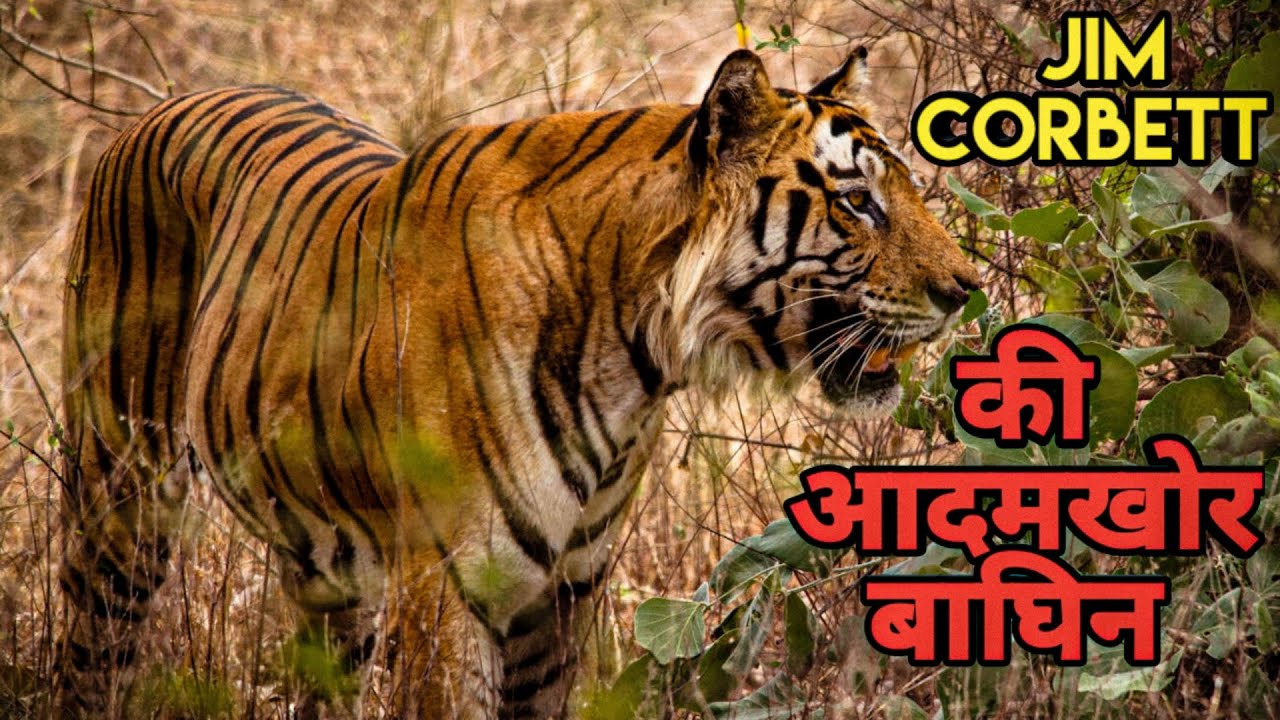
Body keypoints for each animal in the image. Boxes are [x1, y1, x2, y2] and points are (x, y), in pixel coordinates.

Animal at [56, 47, 978, 718]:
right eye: (857, 202)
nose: (966, 290)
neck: (636, 356)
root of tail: (162, 106)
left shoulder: (566, 593)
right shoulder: (446, 590)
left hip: (326, 576)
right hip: (121, 495)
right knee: (92, 657)